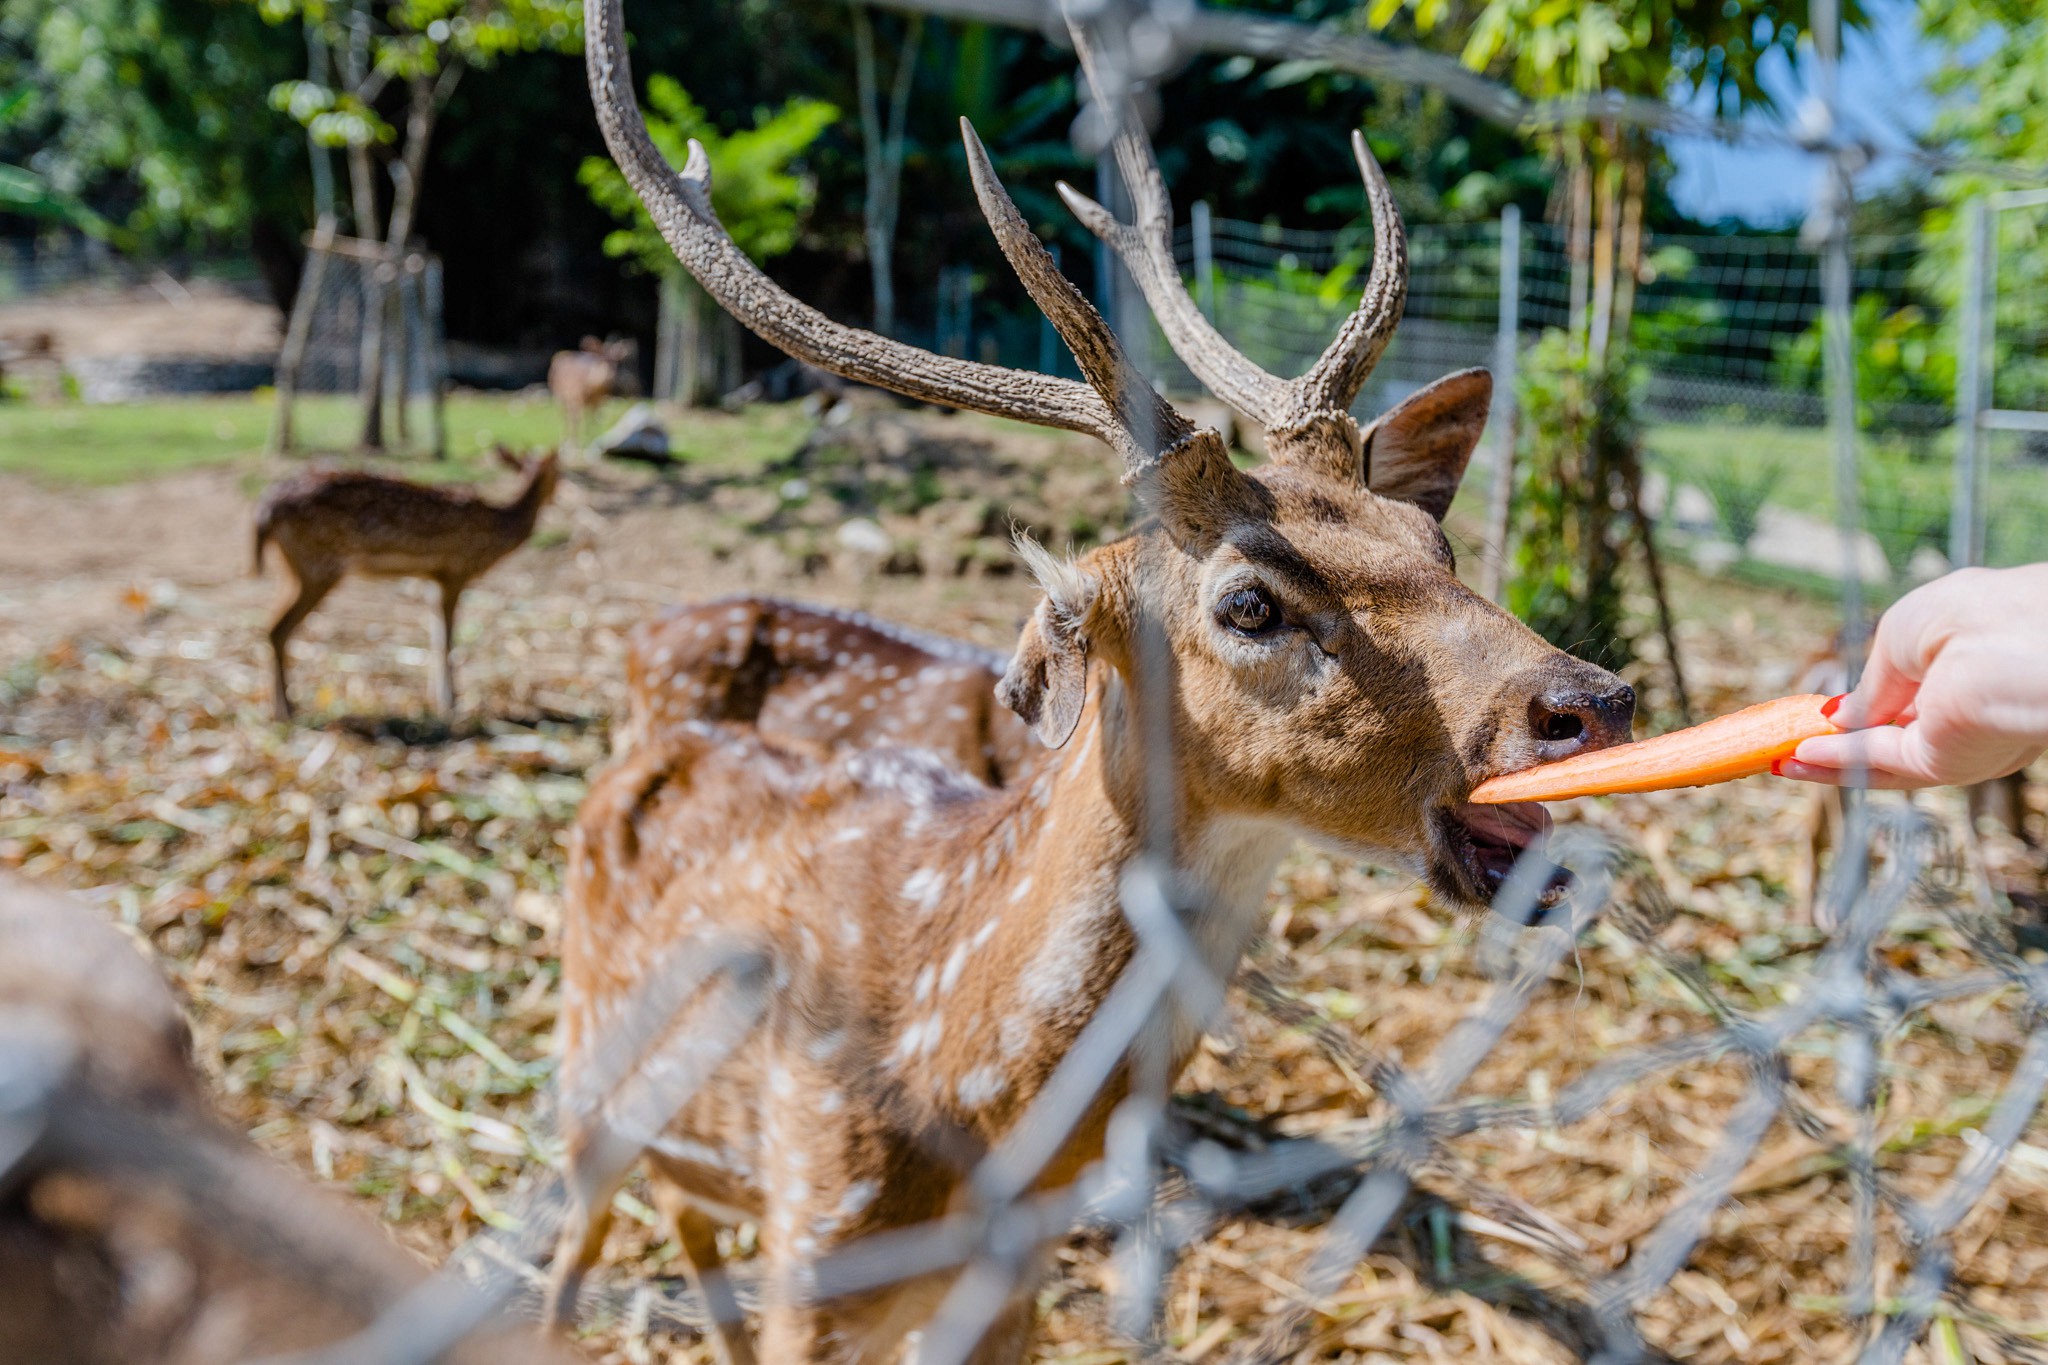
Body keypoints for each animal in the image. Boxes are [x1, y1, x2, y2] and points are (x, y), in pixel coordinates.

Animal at [251, 448, 565, 724]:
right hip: (317, 564)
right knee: (277, 627)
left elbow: (435, 632)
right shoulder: (456, 568)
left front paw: (436, 699)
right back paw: (284, 711)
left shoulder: (434, 576)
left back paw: (281, 707)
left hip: (295, 566)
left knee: (272, 625)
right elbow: (447, 638)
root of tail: (266, 510)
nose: (556, 498)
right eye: (560, 472)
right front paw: (451, 703)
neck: (499, 533)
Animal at [544, 5, 1630, 1358]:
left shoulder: (1010, 1281)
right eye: (1248, 603)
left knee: (685, 1216)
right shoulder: (812, 1239)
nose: (1588, 701)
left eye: (1430, 542)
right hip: (583, 1078)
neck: (960, 1082)